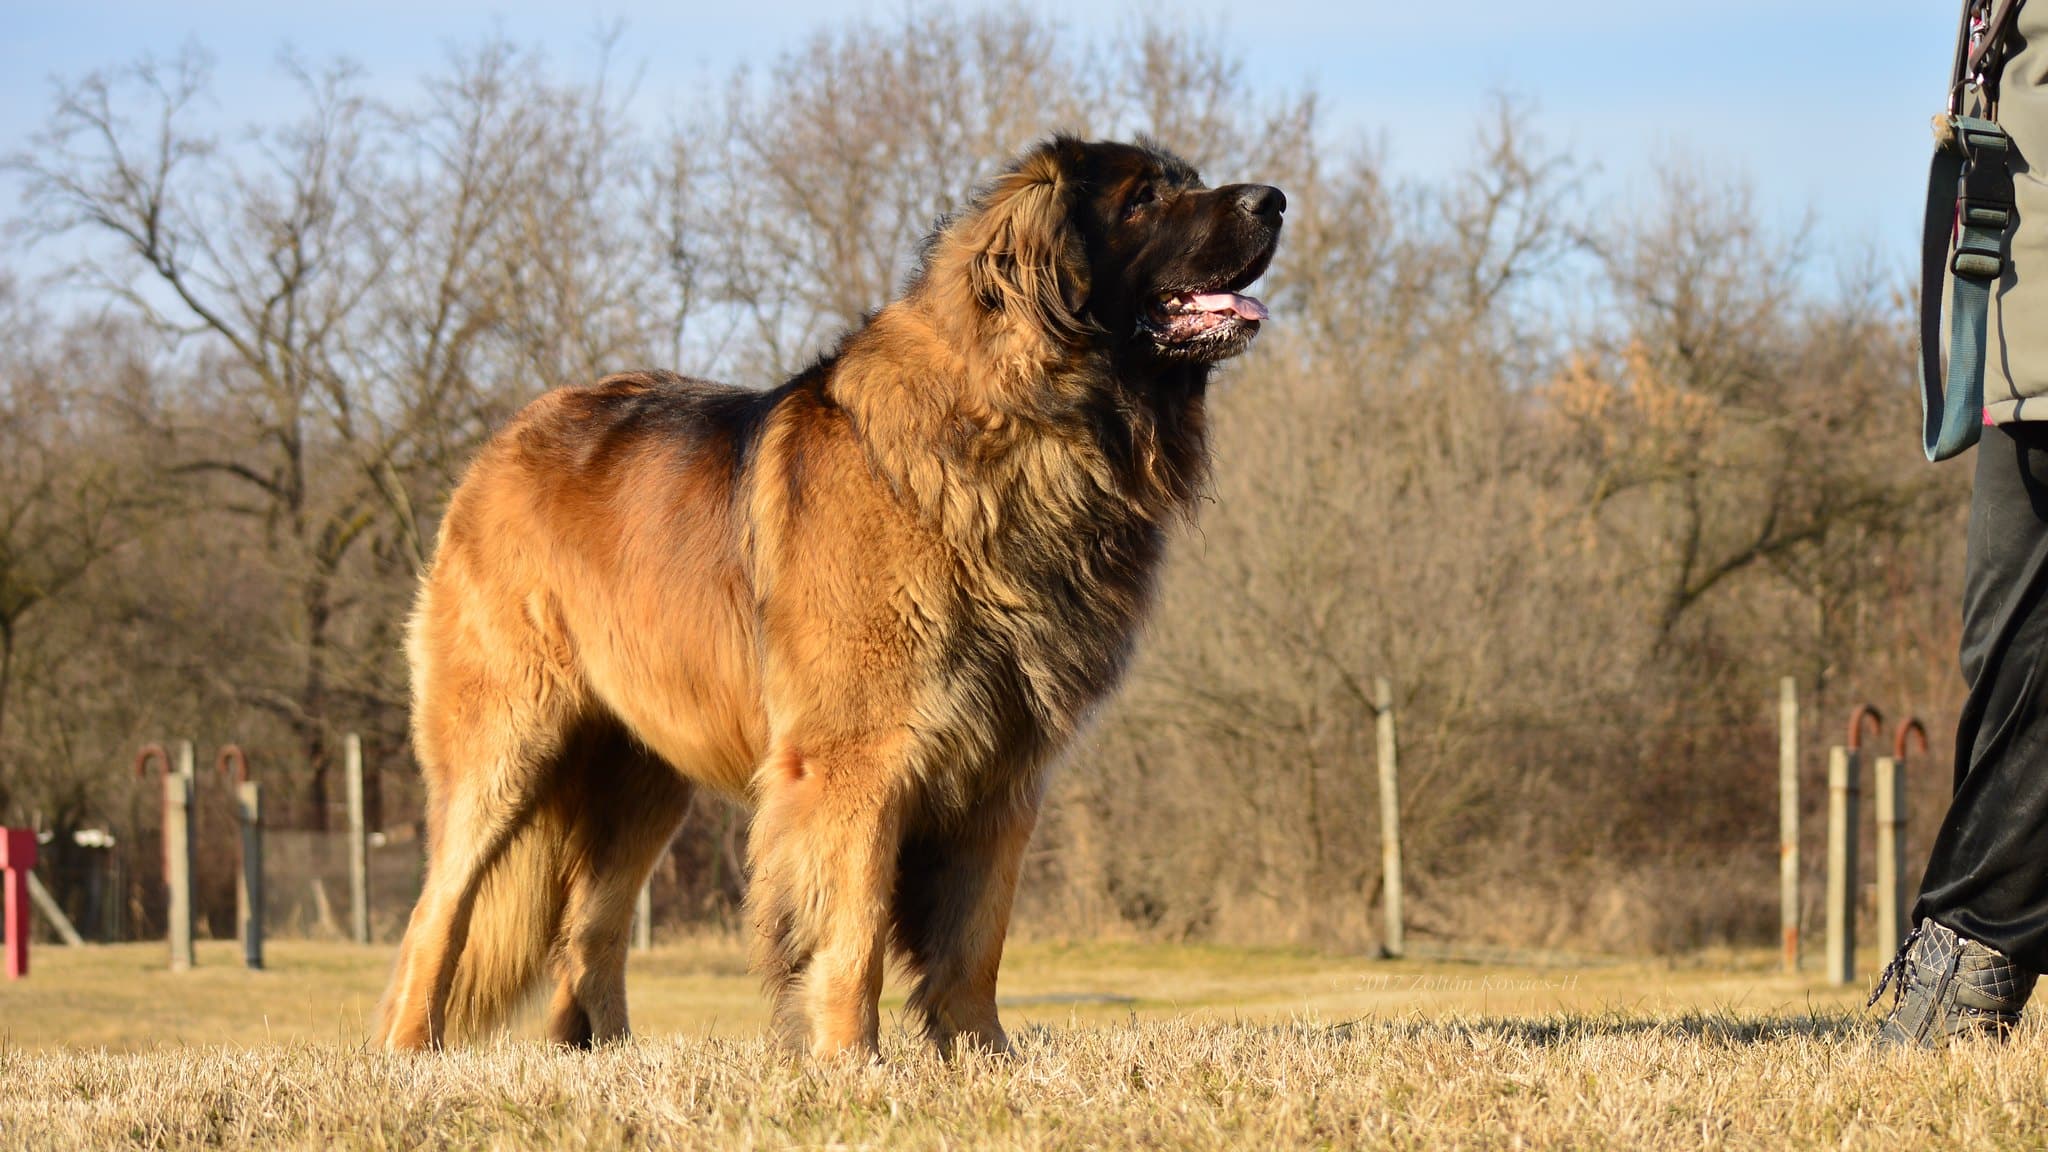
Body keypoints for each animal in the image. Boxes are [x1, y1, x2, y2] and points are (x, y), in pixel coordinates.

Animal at [372, 136, 1277, 1057]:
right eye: (1144, 199)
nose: (1273, 200)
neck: (1025, 429)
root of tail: (501, 444)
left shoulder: (1004, 770)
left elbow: (976, 941)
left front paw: (984, 1057)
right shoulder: (856, 759)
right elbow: (855, 930)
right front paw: (851, 1059)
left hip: (643, 774)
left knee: (592, 930)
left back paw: (605, 1054)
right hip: (506, 743)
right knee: (438, 914)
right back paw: (413, 1051)